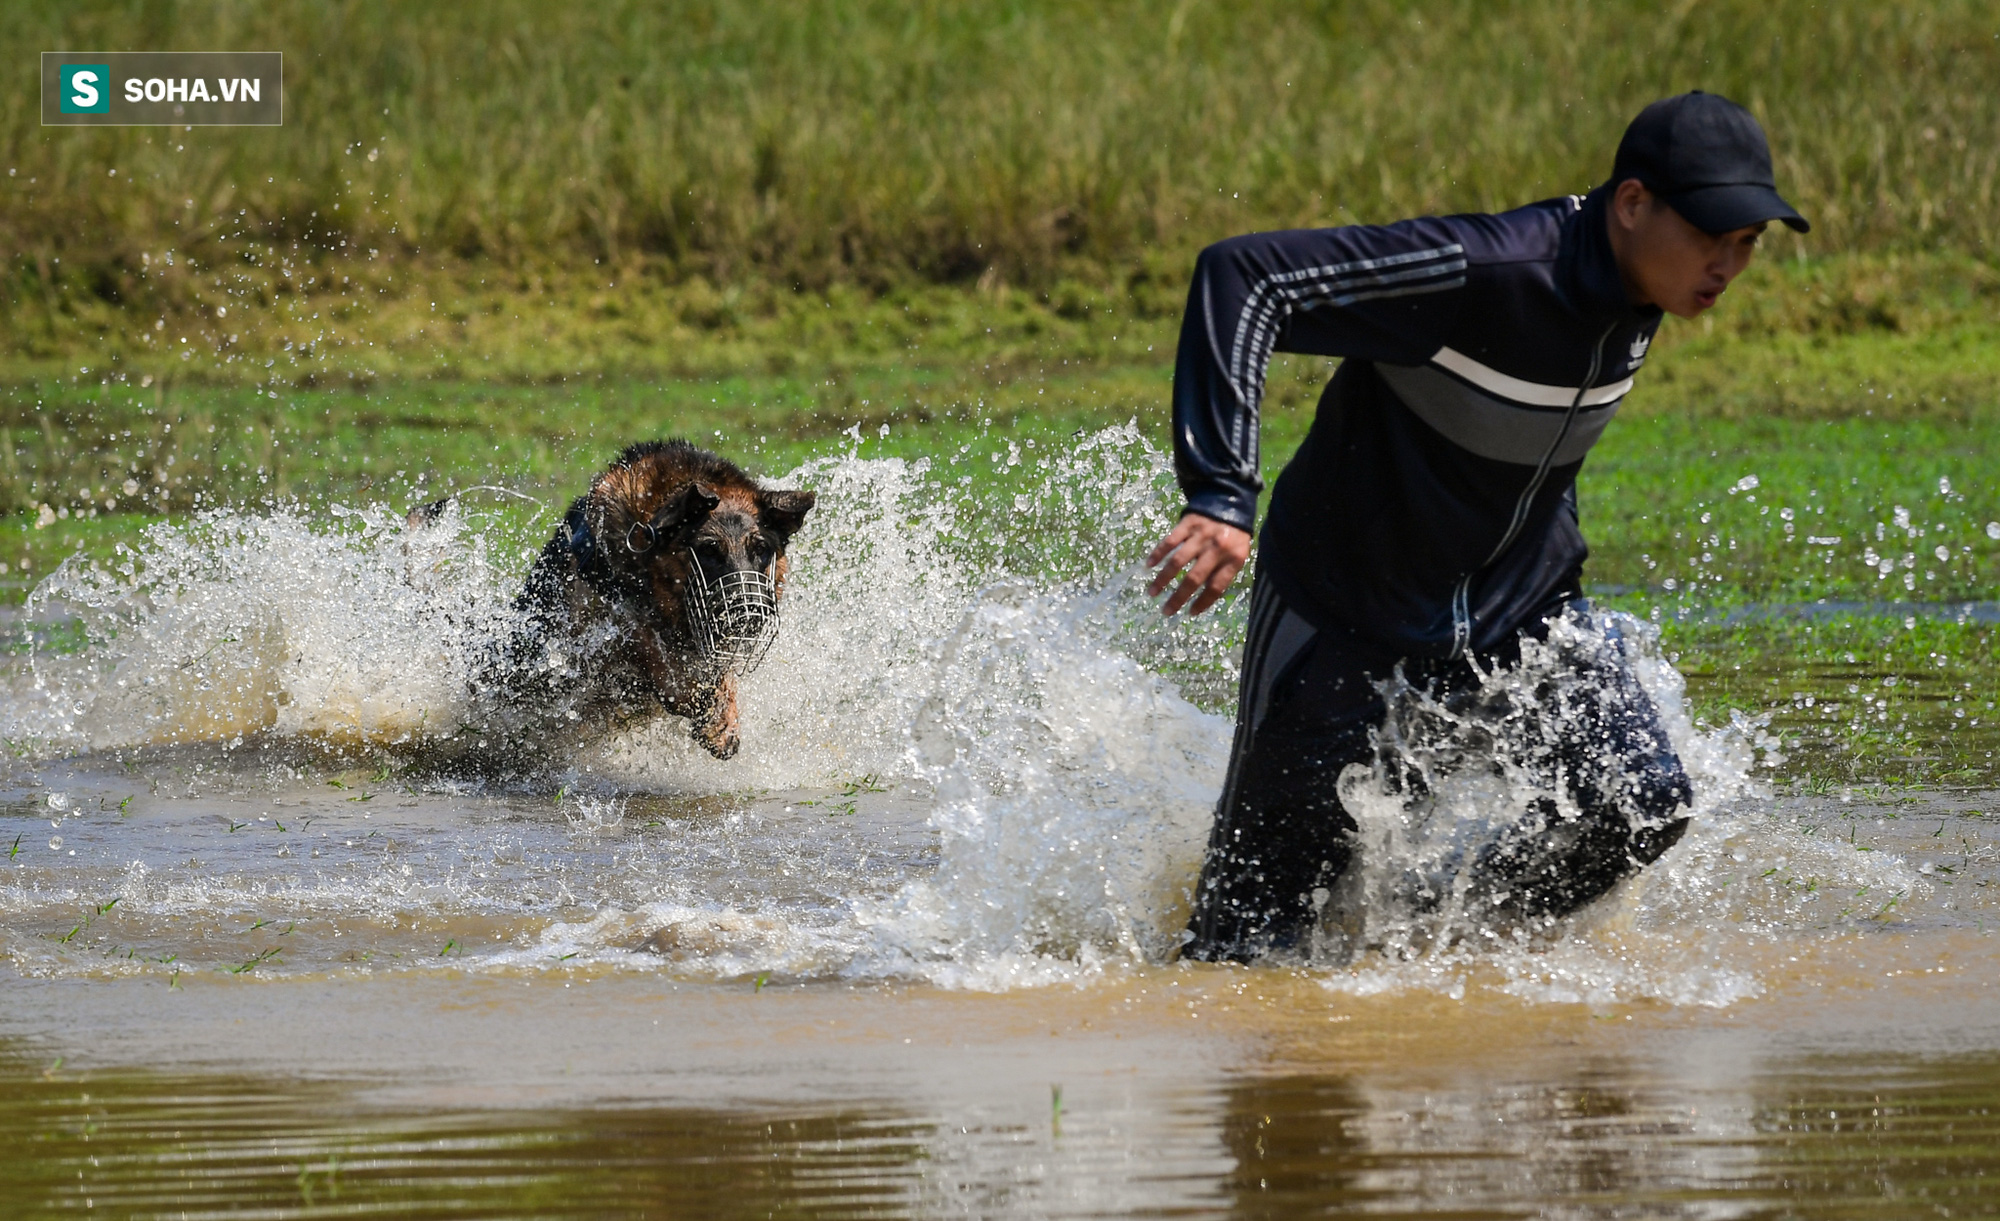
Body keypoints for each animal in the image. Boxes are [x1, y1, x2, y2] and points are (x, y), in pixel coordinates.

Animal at [468, 442, 812, 756]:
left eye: (761, 550)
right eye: (709, 550)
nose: (750, 611)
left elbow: (721, 673)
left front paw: (722, 720)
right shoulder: (597, 621)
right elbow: (642, 640)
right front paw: (689, 694)